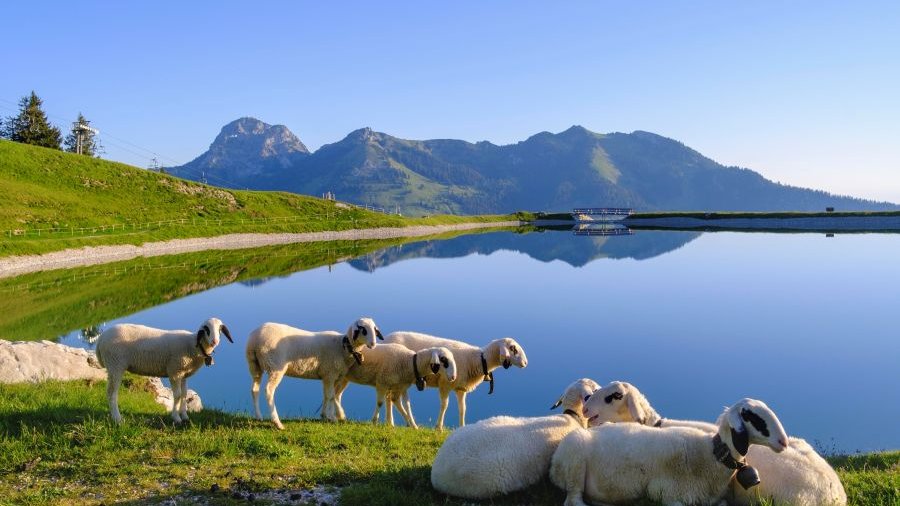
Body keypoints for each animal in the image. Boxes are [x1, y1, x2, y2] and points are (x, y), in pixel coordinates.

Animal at [95, 317, 233, 424]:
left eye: (220, 330)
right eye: (206, 330)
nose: (215, 341)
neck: (193, 345)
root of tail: (101, 338)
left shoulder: (183, 375)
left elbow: (184, 394)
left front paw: (185, 416)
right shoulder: (175, 372)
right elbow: (177, 395)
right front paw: (176, 418)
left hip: (114, 365)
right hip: (115, 364)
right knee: (112, 393)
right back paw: (117, 419)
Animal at [246, 317, 382, 429]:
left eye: (374, 329)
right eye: (363, 330)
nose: (373, 344)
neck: (342, 347)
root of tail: (255, 339)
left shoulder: (328, 375)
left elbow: (327, 395)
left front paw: (324, 415)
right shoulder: (330, 374)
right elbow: (331, 396)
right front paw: (332, 418)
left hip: (254, 365)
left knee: (254, 390)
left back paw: (259, 416)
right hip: (275, 366)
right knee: (269, 390)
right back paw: (277, 423)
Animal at [383, 331, 528, 430]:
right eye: (513, 348)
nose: (526, 363)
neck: (477, 359)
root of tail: (385, 340)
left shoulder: (460, 389)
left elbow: (463, 409)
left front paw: (462, 427)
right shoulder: (445, 384)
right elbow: (444, 405)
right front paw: (439, 427)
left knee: (390, 398)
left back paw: (392, 423)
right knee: (391, 398)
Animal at [550, 398, 789, 506]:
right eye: (751, 416)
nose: (784, 442)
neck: (710, 455)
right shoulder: (665, 493)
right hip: (574, 462)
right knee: (573, 500)